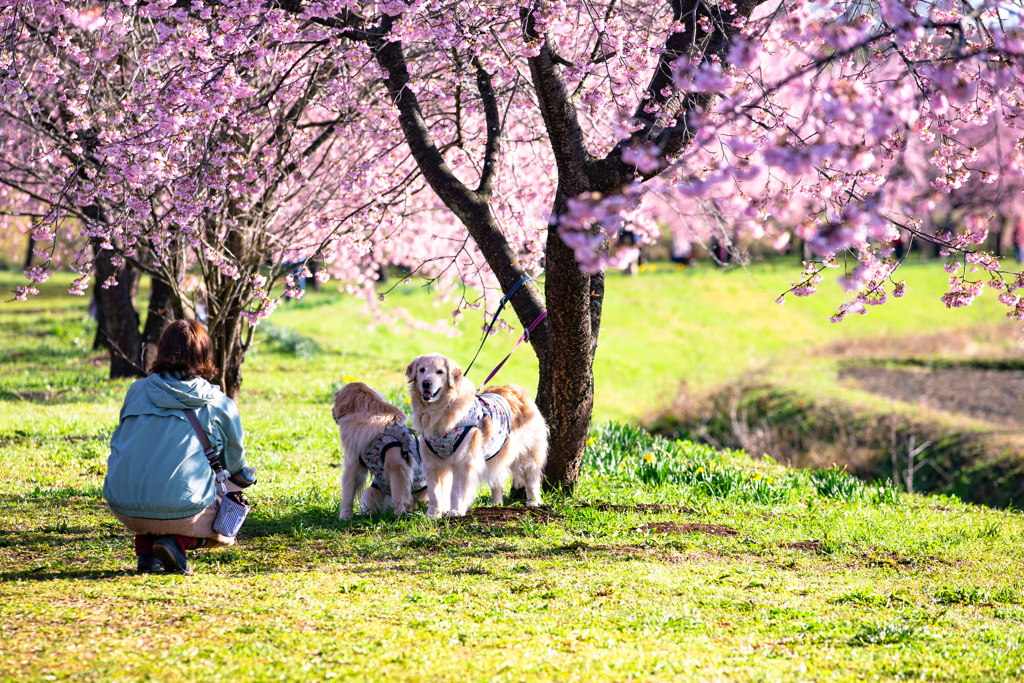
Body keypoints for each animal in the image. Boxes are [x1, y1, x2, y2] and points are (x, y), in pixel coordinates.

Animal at [331, 385, 428, 518]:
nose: (331, 411)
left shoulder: (397, 467)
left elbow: (398, 494)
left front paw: (399, 515)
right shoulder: (354, 464)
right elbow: (348, 493)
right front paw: (345, 516)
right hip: (372, 490)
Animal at [409, 352, 552, 518]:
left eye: (440, 372)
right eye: (422, 370)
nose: (426, 383)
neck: (439, 412)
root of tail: (517, 389)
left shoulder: (463, 459)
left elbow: (457, 489)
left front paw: (456, 511)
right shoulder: (432, 462)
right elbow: (434, 492)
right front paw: (433, 514)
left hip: (528, 455)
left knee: (532, 479)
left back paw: (533, 503)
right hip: (495, 454)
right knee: (497, 479)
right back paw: (495, 503)